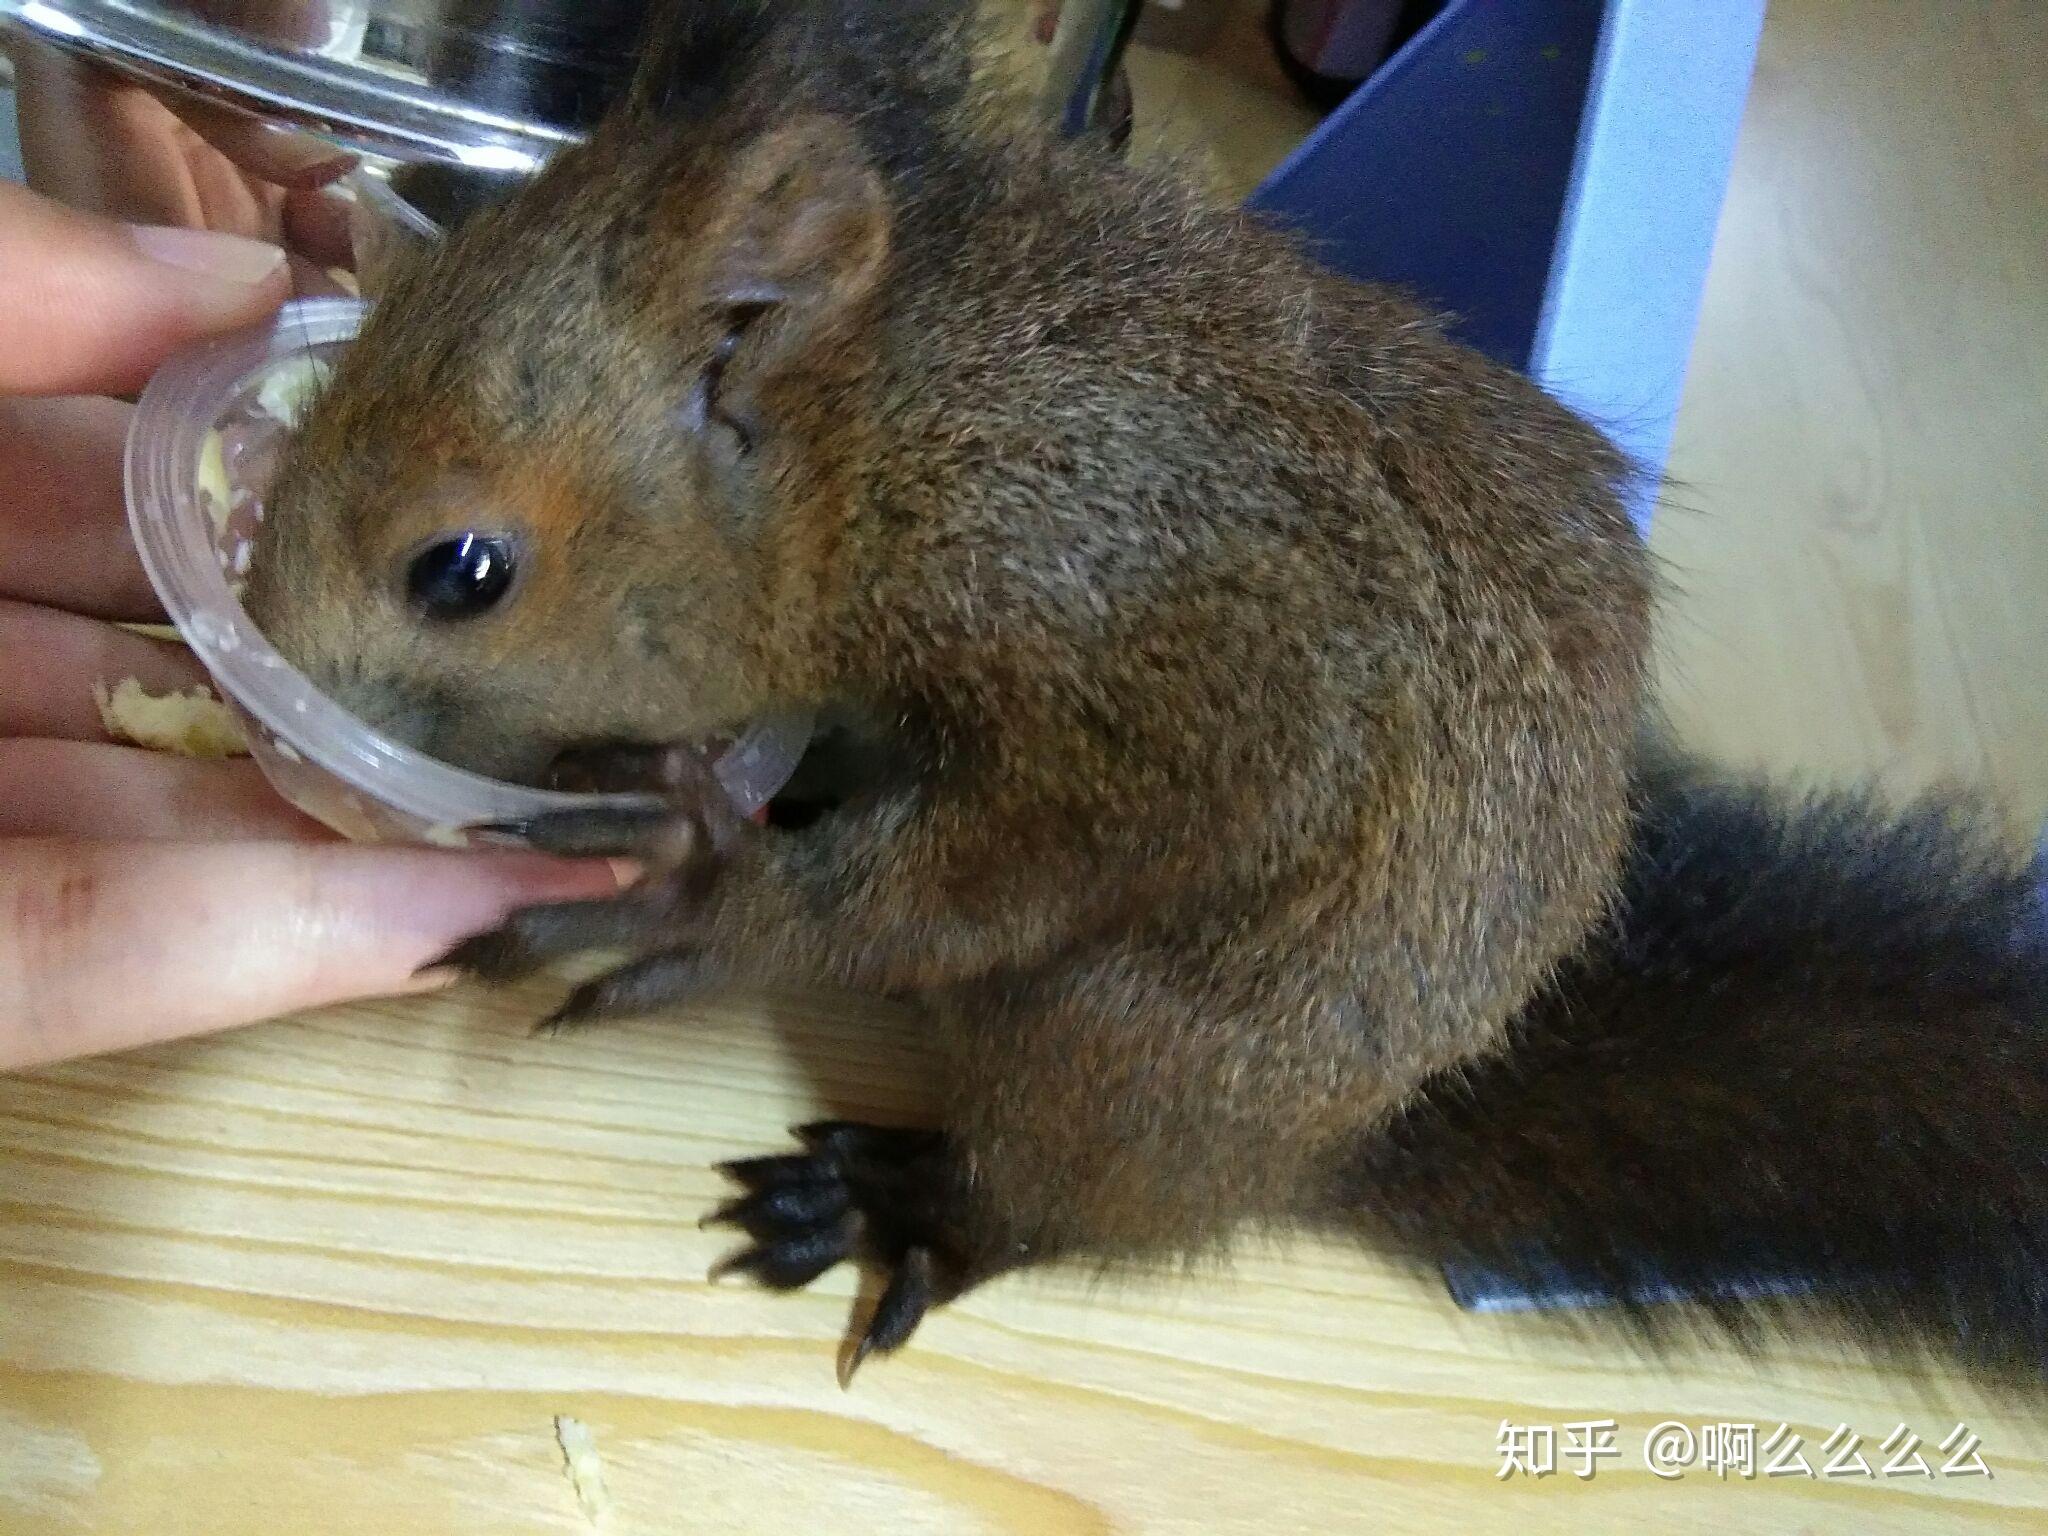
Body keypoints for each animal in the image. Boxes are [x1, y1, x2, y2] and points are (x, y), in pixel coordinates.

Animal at [243, 0, 2048, 1392]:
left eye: (462, 571)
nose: (259, 683)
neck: (882, 440)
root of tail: (1328, 1139)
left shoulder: (1162, 624)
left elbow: (1027, 863)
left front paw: (715, 888)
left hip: (1129, 1050)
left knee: (1062, 1191)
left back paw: (911, 1206)